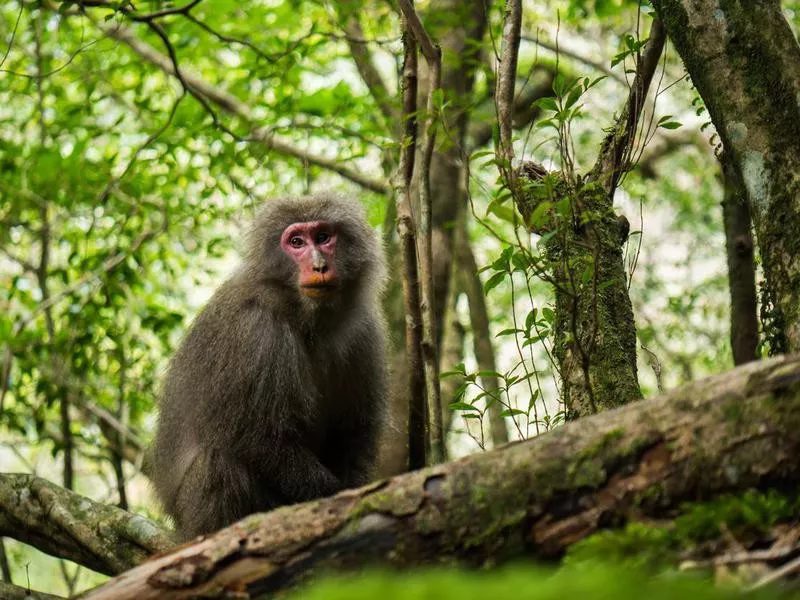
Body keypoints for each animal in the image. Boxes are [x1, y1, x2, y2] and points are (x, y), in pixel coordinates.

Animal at [152, 193, 388, 540]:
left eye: (323, 237)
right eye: (296, 242)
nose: (319, 265)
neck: (306, 318)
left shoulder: (364, 331)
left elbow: (353, 432)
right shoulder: (257, 333)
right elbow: (262, 439)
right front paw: (330, 497)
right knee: (218, 465)